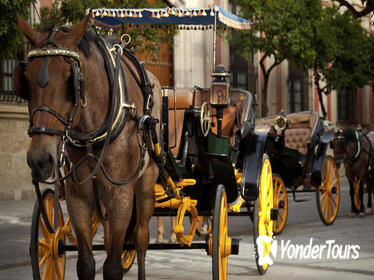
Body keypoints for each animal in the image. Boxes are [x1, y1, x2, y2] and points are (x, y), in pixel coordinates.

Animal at [16, 15, 162, 280]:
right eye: (26, 79)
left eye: (70, 79)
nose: (40, 159)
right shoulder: (78, 197)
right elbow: (86, 263)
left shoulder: (121, 195)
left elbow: (113, 266)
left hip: (146, 182)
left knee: (140, 238)